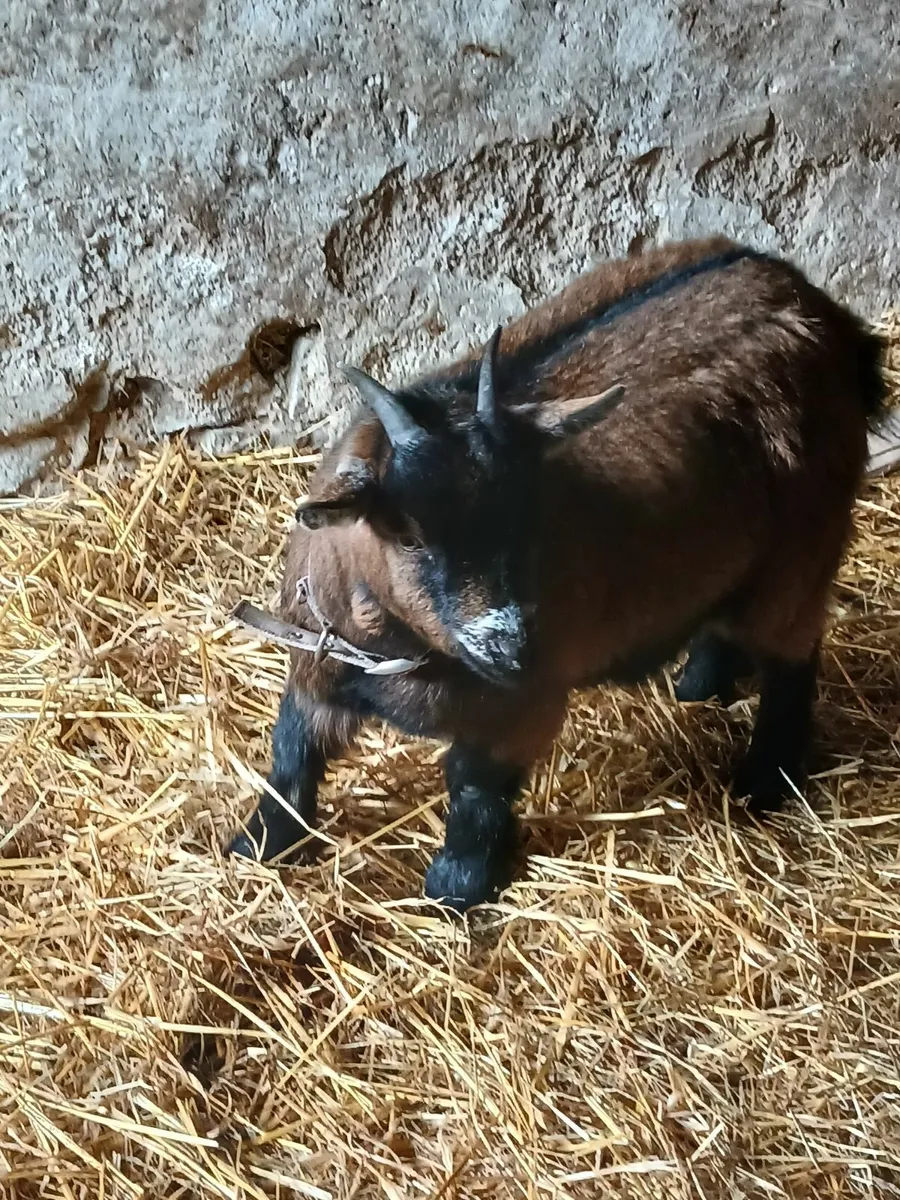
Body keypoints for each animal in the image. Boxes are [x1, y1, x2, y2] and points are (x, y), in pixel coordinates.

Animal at [228, 236, 885, 911]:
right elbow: (291, 757)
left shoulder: (518, 709)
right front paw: (257, 844)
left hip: (801, 552)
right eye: (408, 534)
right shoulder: (316, 668)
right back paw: (700, 685)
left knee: (791, 657)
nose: (512, 648)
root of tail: (817, 306)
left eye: (529, 513)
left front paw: (456, 888)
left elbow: (476, 790)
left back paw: (763, 781)